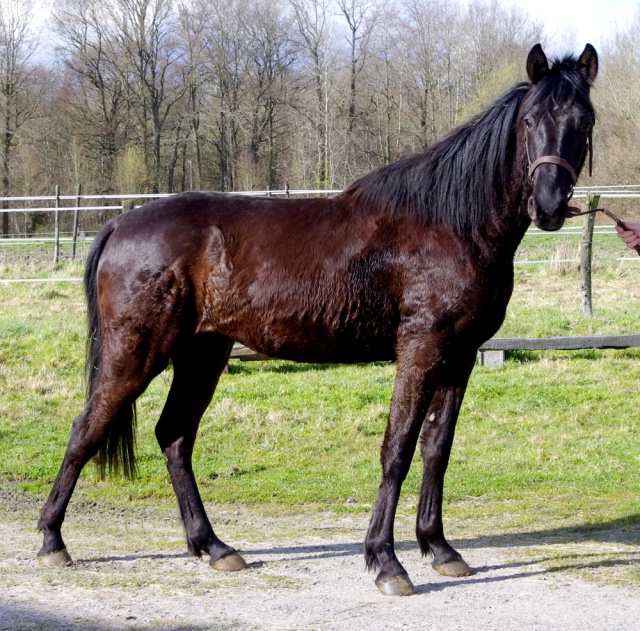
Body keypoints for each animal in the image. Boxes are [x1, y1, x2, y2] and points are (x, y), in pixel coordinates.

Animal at [37, 44, 600, 596]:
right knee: (86, 428)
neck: (452, 225)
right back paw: (51, 541)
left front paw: (440, 549)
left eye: (585, 119)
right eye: (530, 120)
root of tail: (121, 223)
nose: (549, 204)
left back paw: (213, 547)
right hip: (137, 352)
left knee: (174, 436)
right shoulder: (420, 349)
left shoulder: (459, 356)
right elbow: (397, 449)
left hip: (203, 354)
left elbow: (436, 449)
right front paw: (386, 563)